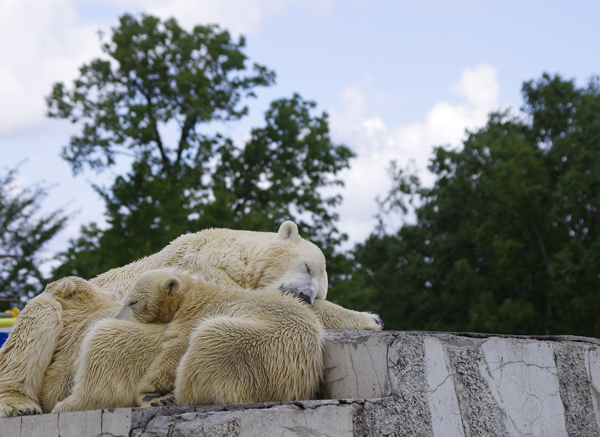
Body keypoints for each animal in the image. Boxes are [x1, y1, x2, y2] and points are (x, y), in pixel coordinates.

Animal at [53, 268, 324, 410]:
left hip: (255, 346)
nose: (116, 316)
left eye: (133, 301)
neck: (195, 294)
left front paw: (150, 392)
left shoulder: (196, 314)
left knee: (207, 343)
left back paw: (169, 398)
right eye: (125, 299)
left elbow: (176, 349)